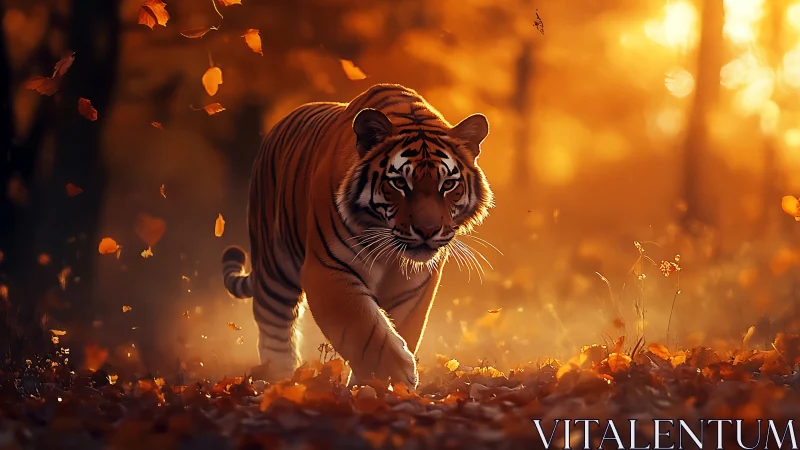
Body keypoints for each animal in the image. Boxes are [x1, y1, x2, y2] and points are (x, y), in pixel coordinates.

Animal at [221, 84, 494, 388]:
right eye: (400, 183)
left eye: (448, 184)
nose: (427, 230)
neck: (391, 251)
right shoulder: (327, 268)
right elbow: (364, 329)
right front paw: (391, 375)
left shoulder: (415, 284)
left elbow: (402, 327)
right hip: (274, 267)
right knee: (273, 324)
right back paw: (277, 378)